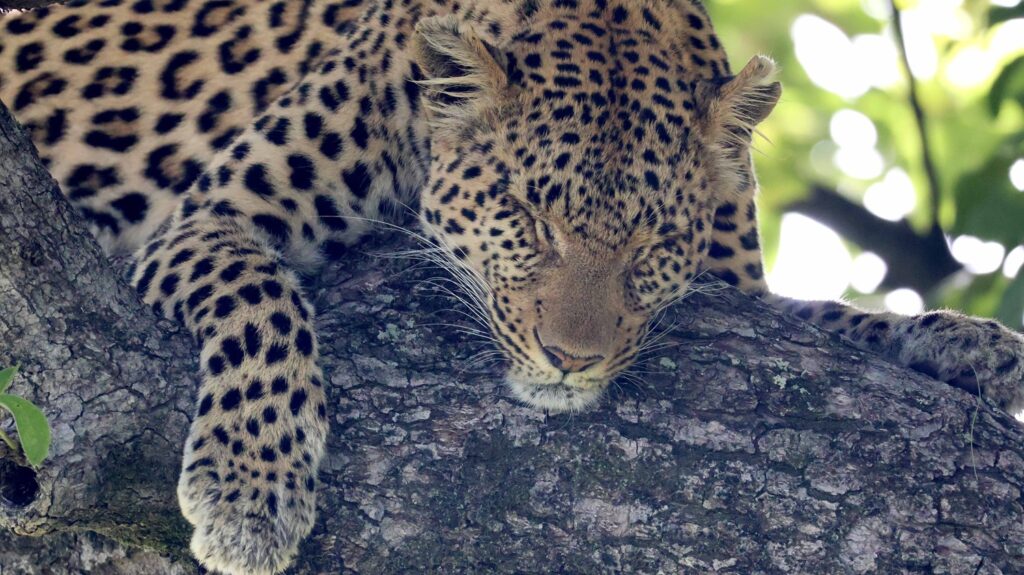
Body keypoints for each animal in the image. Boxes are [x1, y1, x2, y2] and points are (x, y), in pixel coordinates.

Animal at [2, 0, 1022, 573]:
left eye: (653, 243)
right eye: (530, 217)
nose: (571, 360)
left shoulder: (742, 287)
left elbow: (826, 318)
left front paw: (964, 342)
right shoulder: (209, 219)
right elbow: (263, 308)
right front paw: (252, 490)